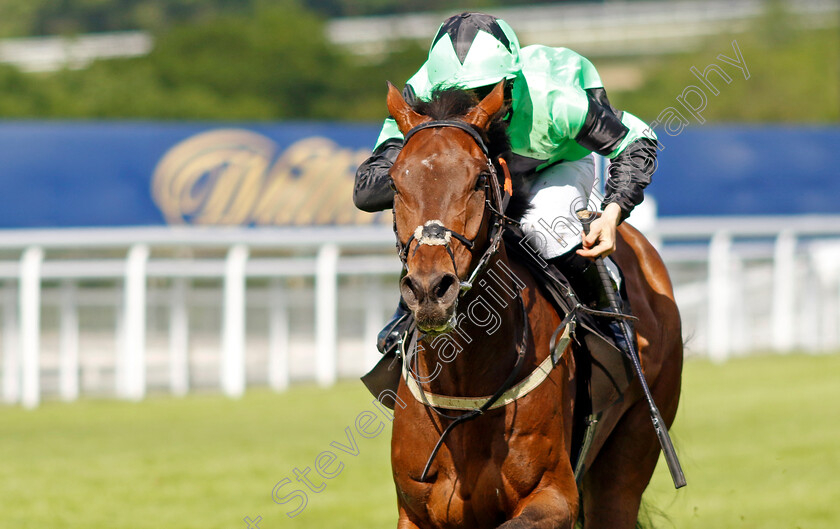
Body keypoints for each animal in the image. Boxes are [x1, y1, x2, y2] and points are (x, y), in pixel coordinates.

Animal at [382, 80, 684, 524]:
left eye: (479, 180)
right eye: (395, 182)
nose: (429, 290)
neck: (464, 384)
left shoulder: (554, 494)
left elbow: (633, 138)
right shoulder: (415, 513)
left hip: (627, 460)